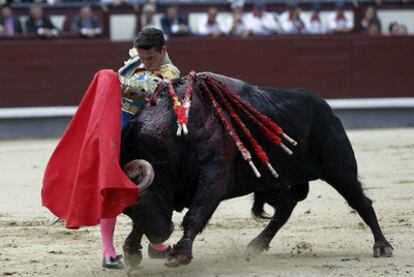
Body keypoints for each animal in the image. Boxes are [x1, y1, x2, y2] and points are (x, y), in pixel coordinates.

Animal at [119, 72, 392, 266]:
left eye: (144, 202)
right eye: (128, 210)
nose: (160, 235)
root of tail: (326, 109)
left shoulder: (213, 176)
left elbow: (195, 214)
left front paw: (179, 255)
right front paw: (131, 251)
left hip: (340, 169)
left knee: (361, 202)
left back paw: (382, 246)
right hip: (273, 179)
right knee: (285, 207)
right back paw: (257, 244)